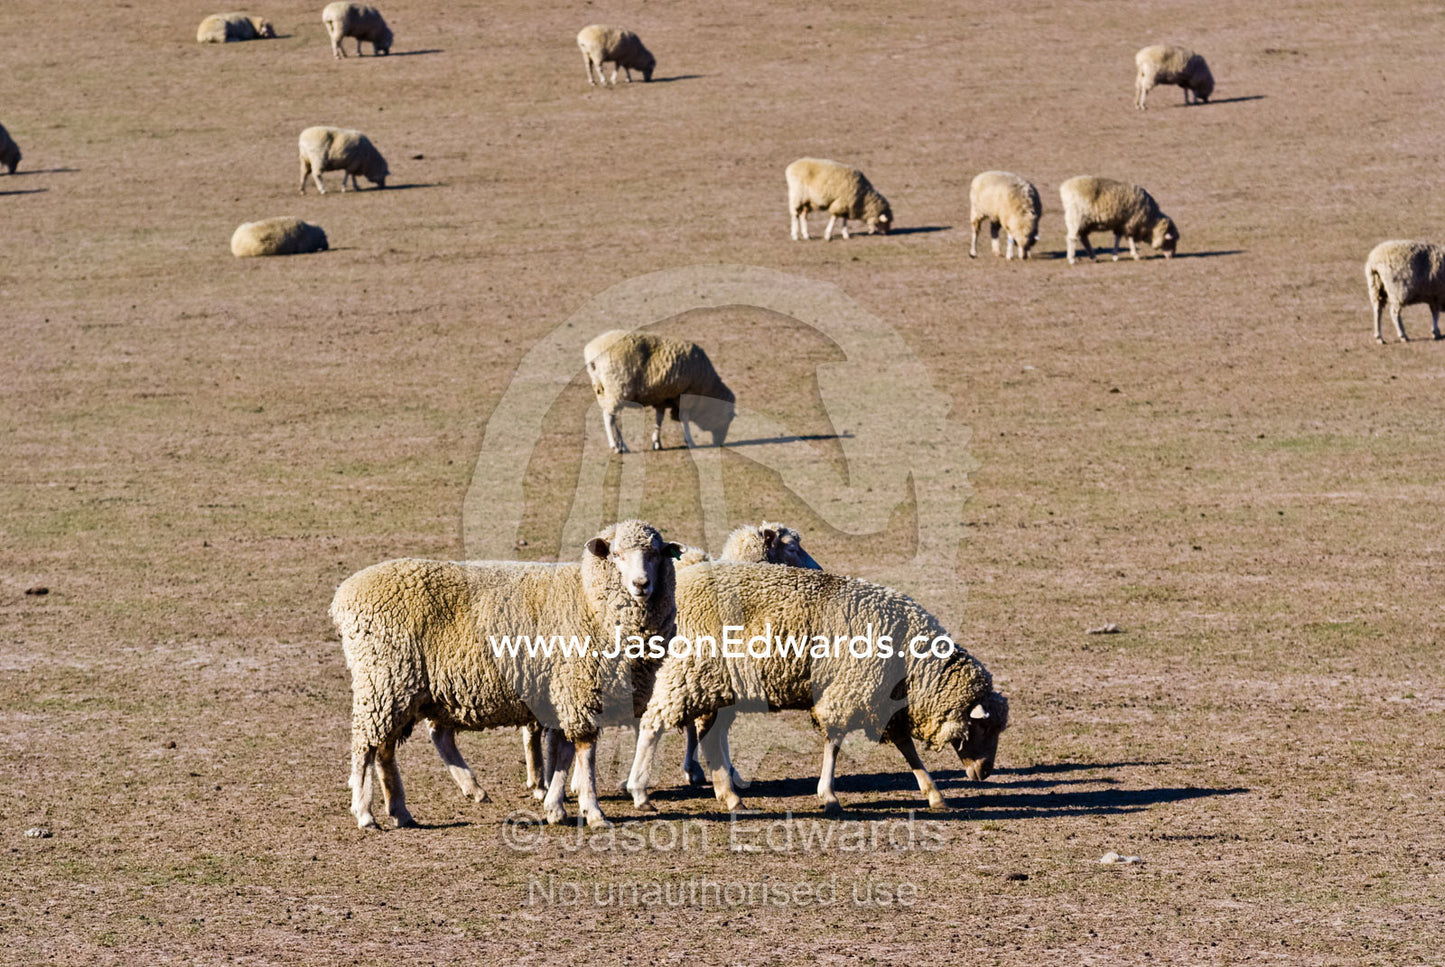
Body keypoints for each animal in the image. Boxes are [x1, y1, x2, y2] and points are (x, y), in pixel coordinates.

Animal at [333, 520, 682, 829]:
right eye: (616, 554)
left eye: (655, 554)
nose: (641, 585)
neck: (588, 599)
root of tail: (343, 596)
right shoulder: (580, 689)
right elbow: (584, 754)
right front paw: (593, 812)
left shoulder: (562, 691)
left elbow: (562, 753)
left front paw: (555, 807)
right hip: (383, 680)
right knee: (365, 747)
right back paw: (365, 813)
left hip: (398, 687)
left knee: (386, 748)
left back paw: (402, 811)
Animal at [584, 330, 735, 454]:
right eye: (728, 418)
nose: (719, 443)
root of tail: (592, 350)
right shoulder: (687, 394)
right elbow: (684, 418)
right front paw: (690, 441)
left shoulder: (662, 398)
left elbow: (659, 419)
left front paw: (656, 442)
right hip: (616, 389)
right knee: (608, 417)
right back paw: (615, 446)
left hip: (604, 390)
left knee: (613, 417)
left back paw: (622, 445)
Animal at [625, 562, 1009, 814]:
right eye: (982, 726)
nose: (985, 772)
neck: (912, 660)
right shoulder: (851, 691)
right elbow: (835, 743)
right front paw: (828, 795)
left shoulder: (885, 701)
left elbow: (907, 749)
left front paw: (933, 793)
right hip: (688, 672)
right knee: (654, 724)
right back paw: (640, 792)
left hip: (716, 682)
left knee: (709, 735)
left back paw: (731, 796)